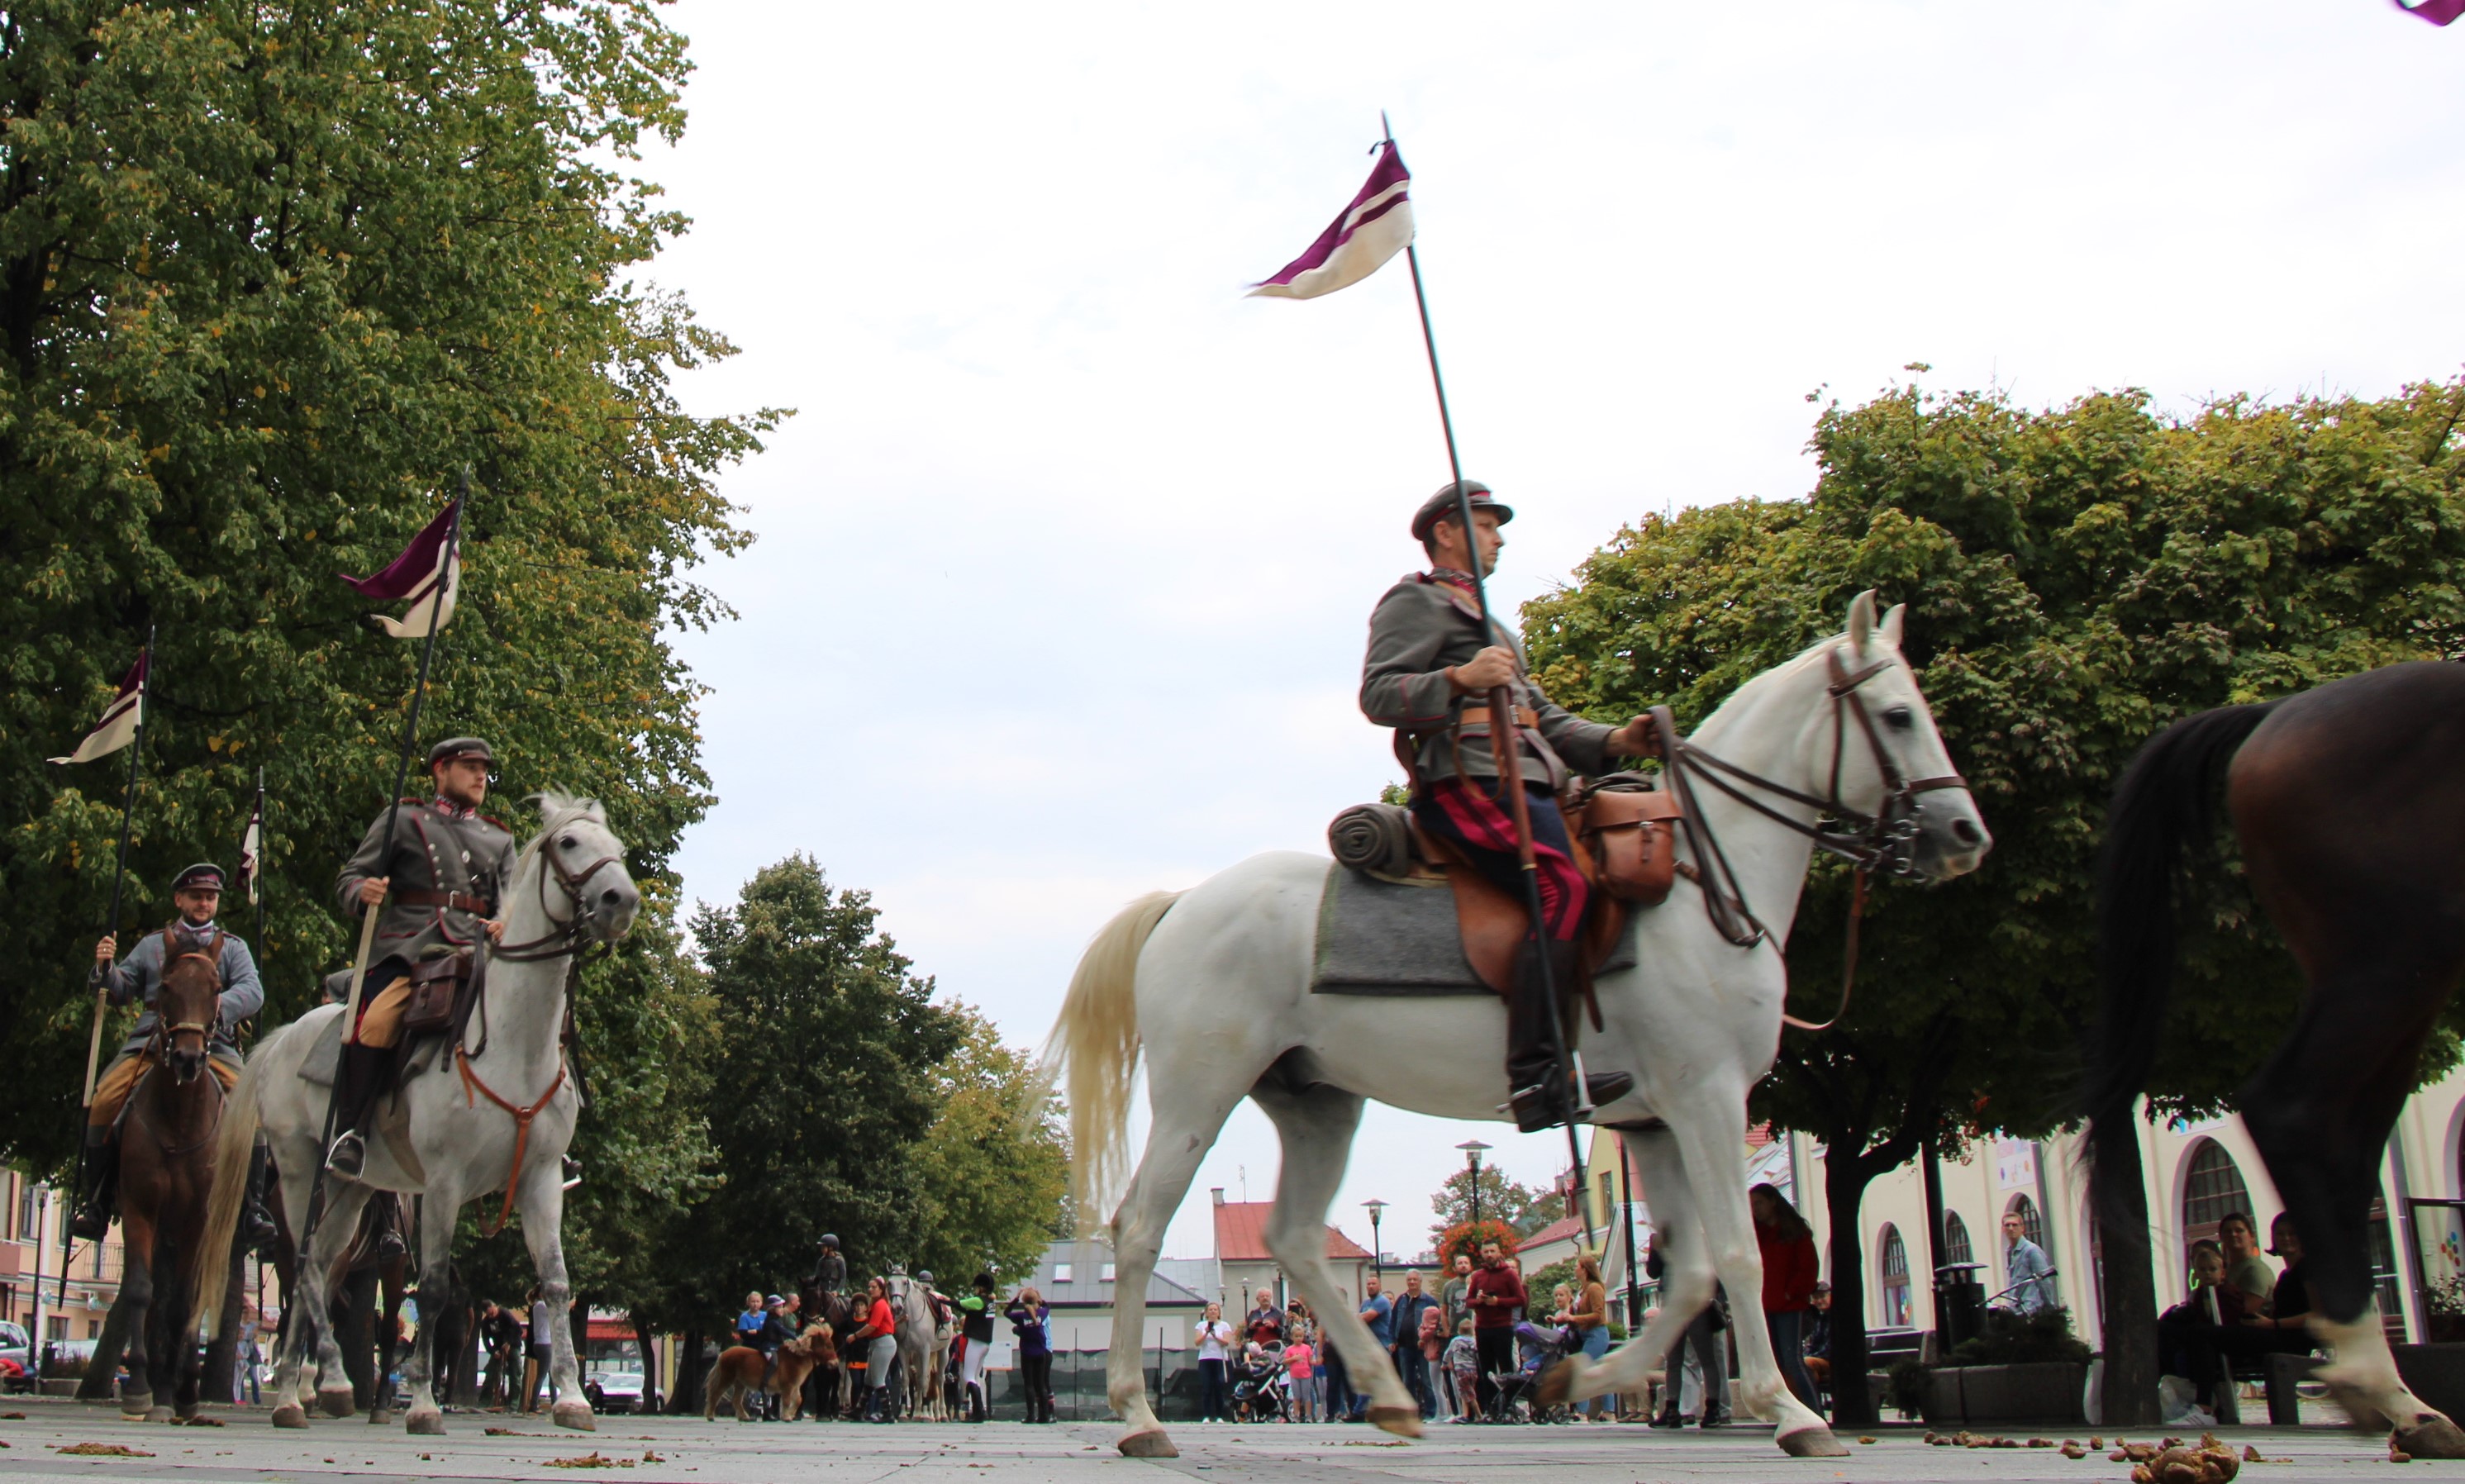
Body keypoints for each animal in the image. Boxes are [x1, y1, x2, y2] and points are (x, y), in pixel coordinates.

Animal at [198, 793, 640, 1429]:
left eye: (619, 849)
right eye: (569, 843)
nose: (620, 901)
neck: (513, 1038)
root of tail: (283, 1037)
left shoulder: (540, 1179)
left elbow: (556, 1283)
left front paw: (572, 1398)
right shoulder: (443, 1182)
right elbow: (431, 1288)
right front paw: (425, 1403)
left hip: (354, 1189)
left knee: (320, 1264)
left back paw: (307, 1389)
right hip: (302, 1173)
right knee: (305, 1267)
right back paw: (311, 1388)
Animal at [1049, 592, 1992, 1459]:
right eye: (1898, 714)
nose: (1963, 834)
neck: (1699, 886)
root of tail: (1182, 904)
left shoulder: (1653, 1121)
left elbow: (1686, 1274)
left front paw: (1576, 1376)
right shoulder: (1709, 1098)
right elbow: (1739, 1254)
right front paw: (1790, 1409)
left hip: (1318, 1101)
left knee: (1292, 1237)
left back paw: (1389, 1394)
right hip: (1199, 1092)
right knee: (1140, 1226)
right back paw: (1138, 1415)